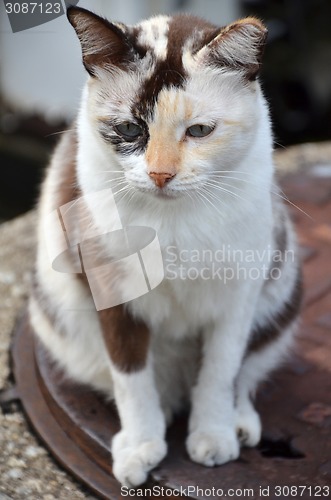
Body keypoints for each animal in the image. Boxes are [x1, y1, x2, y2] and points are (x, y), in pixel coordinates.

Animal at [29, 4, 304, 488]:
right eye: (128, 128)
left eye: (200, 130)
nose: (160, 175)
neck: (171, 223)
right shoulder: (112, 292)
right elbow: (131, 377)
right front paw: (141, 445)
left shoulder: (239, 292)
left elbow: (222, 368)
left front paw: (213, 435)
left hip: (281, 291)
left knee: (247, 368)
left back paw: (238, 421)